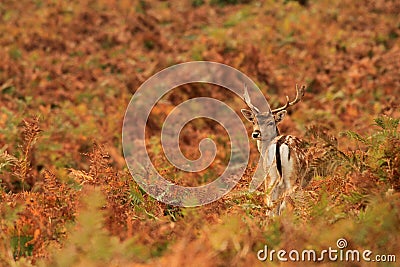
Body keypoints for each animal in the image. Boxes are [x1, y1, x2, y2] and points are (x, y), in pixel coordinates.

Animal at [241, 85, 310, 217]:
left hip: (272, 175)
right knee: (283, 204)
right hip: (289, 177)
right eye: (254, 121)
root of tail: (279, 145)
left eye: (270, 123)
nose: (255, 133)